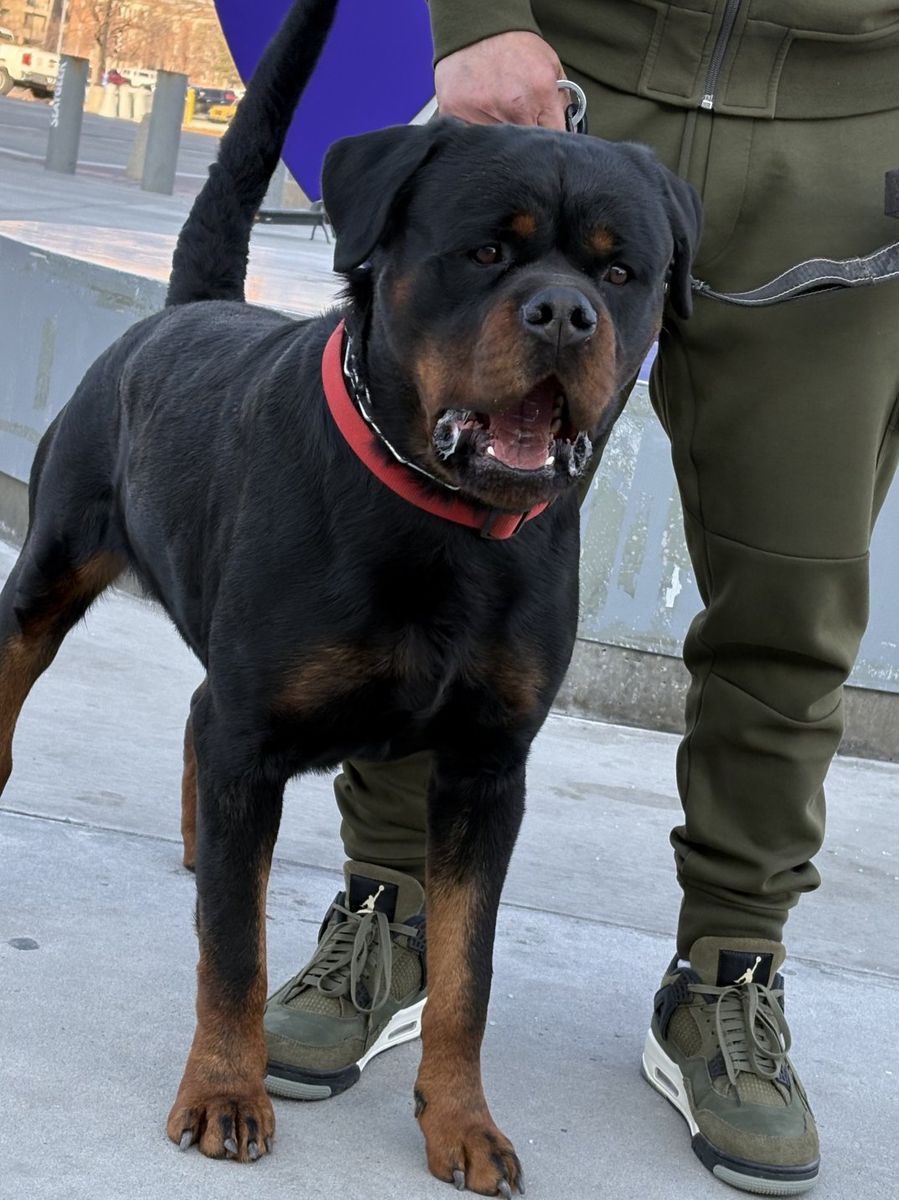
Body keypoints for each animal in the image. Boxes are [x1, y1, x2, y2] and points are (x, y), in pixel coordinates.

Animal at [0, 0, 700, 1192]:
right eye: (485, 250)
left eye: (621, 275)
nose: (563, 315)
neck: (442, 525)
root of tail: (183, 311)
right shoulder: (254, 731)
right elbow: (235, 948)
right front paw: (224, 1091)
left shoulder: (485, 770)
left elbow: (468, 975)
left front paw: (462, 1121)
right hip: (49, 568)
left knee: (193, 731)